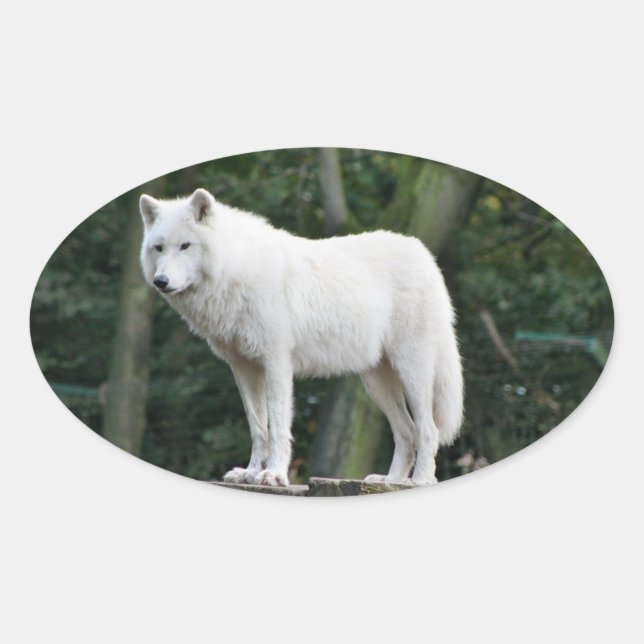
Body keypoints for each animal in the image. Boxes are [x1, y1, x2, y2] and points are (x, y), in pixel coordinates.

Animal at [139, 188, 463, 487]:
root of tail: (424, 254)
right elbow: (258, 427)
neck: (236, 270)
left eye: (185, 246)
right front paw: (250, 473)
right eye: (159, 248)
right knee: (407, 432)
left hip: (411, 371)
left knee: (428, 430)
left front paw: (274, 474)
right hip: (376, 382)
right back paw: (388, 480)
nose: (160, 281)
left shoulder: (276, 362)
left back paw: (420, 480)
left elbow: (278, 425)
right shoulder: (243, 368)